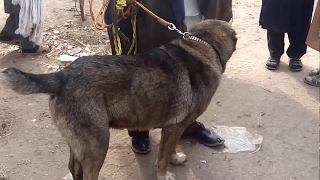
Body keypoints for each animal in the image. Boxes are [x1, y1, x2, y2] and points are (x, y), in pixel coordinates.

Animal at [1, 19, 236, 179]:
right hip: (97, 144)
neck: (203, 46)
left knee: (74, 168)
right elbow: (162, 158)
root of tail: (62, 75)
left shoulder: (172, 128)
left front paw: (175, 157)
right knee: (89, 174)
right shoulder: (175, 127)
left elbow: (169, 149)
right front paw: (164, 174)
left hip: (79, 143)